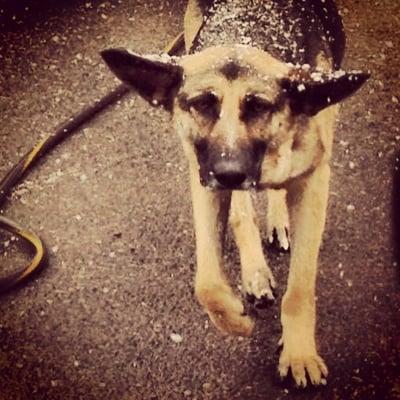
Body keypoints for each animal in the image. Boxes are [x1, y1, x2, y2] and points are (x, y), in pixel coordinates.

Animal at [101, 0, 368, 388]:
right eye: (202, 104)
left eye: (258, 106)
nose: (229, 173)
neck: (252, 27)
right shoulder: (204, 178)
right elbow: (208, 283)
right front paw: (236, 317)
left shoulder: (313, 182)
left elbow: (300, 287)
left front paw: (299, 352)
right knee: (243, 210)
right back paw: (255, 269)